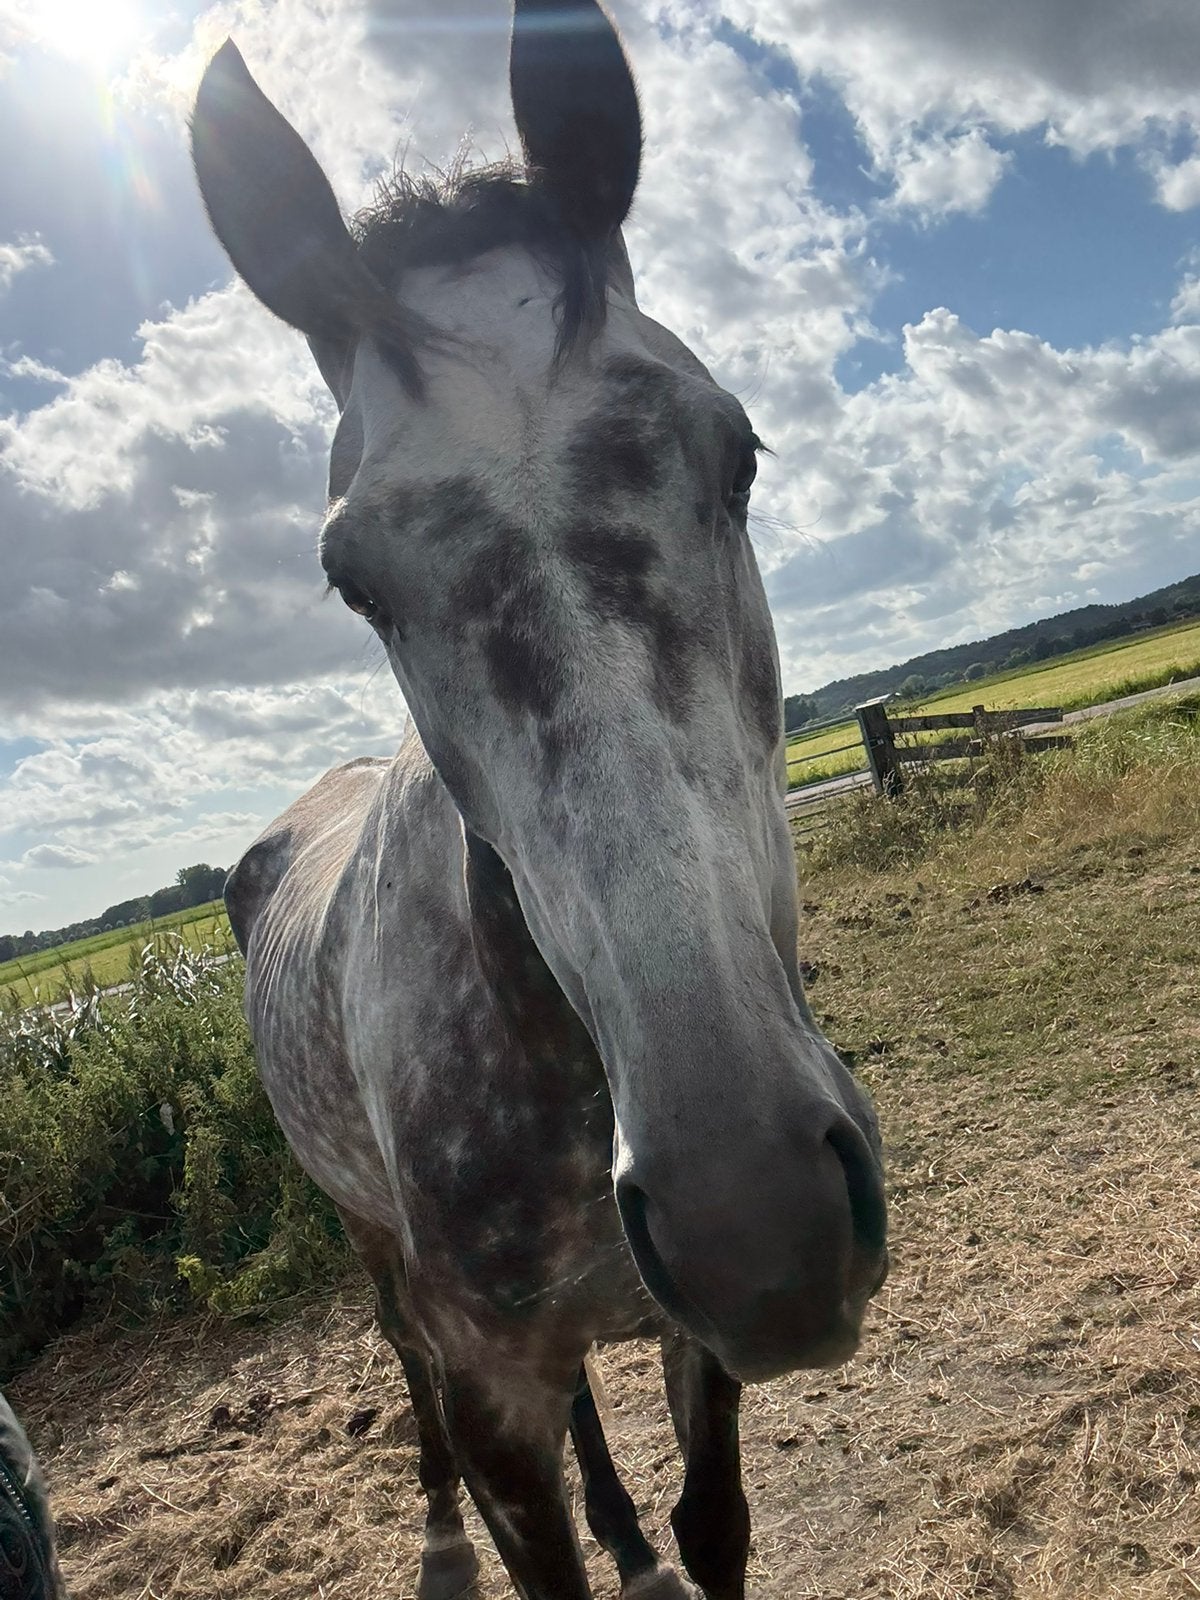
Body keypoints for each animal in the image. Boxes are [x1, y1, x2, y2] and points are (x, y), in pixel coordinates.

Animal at [191, 4, 888, 1596]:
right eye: (352, 580)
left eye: (738, 453)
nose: (754, 1217)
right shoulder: (491, 1398)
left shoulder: (699, 1353)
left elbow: (712, 1523)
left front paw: (655, 1536)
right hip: (370, 1246)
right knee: (401, 1355)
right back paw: (438, 1526)